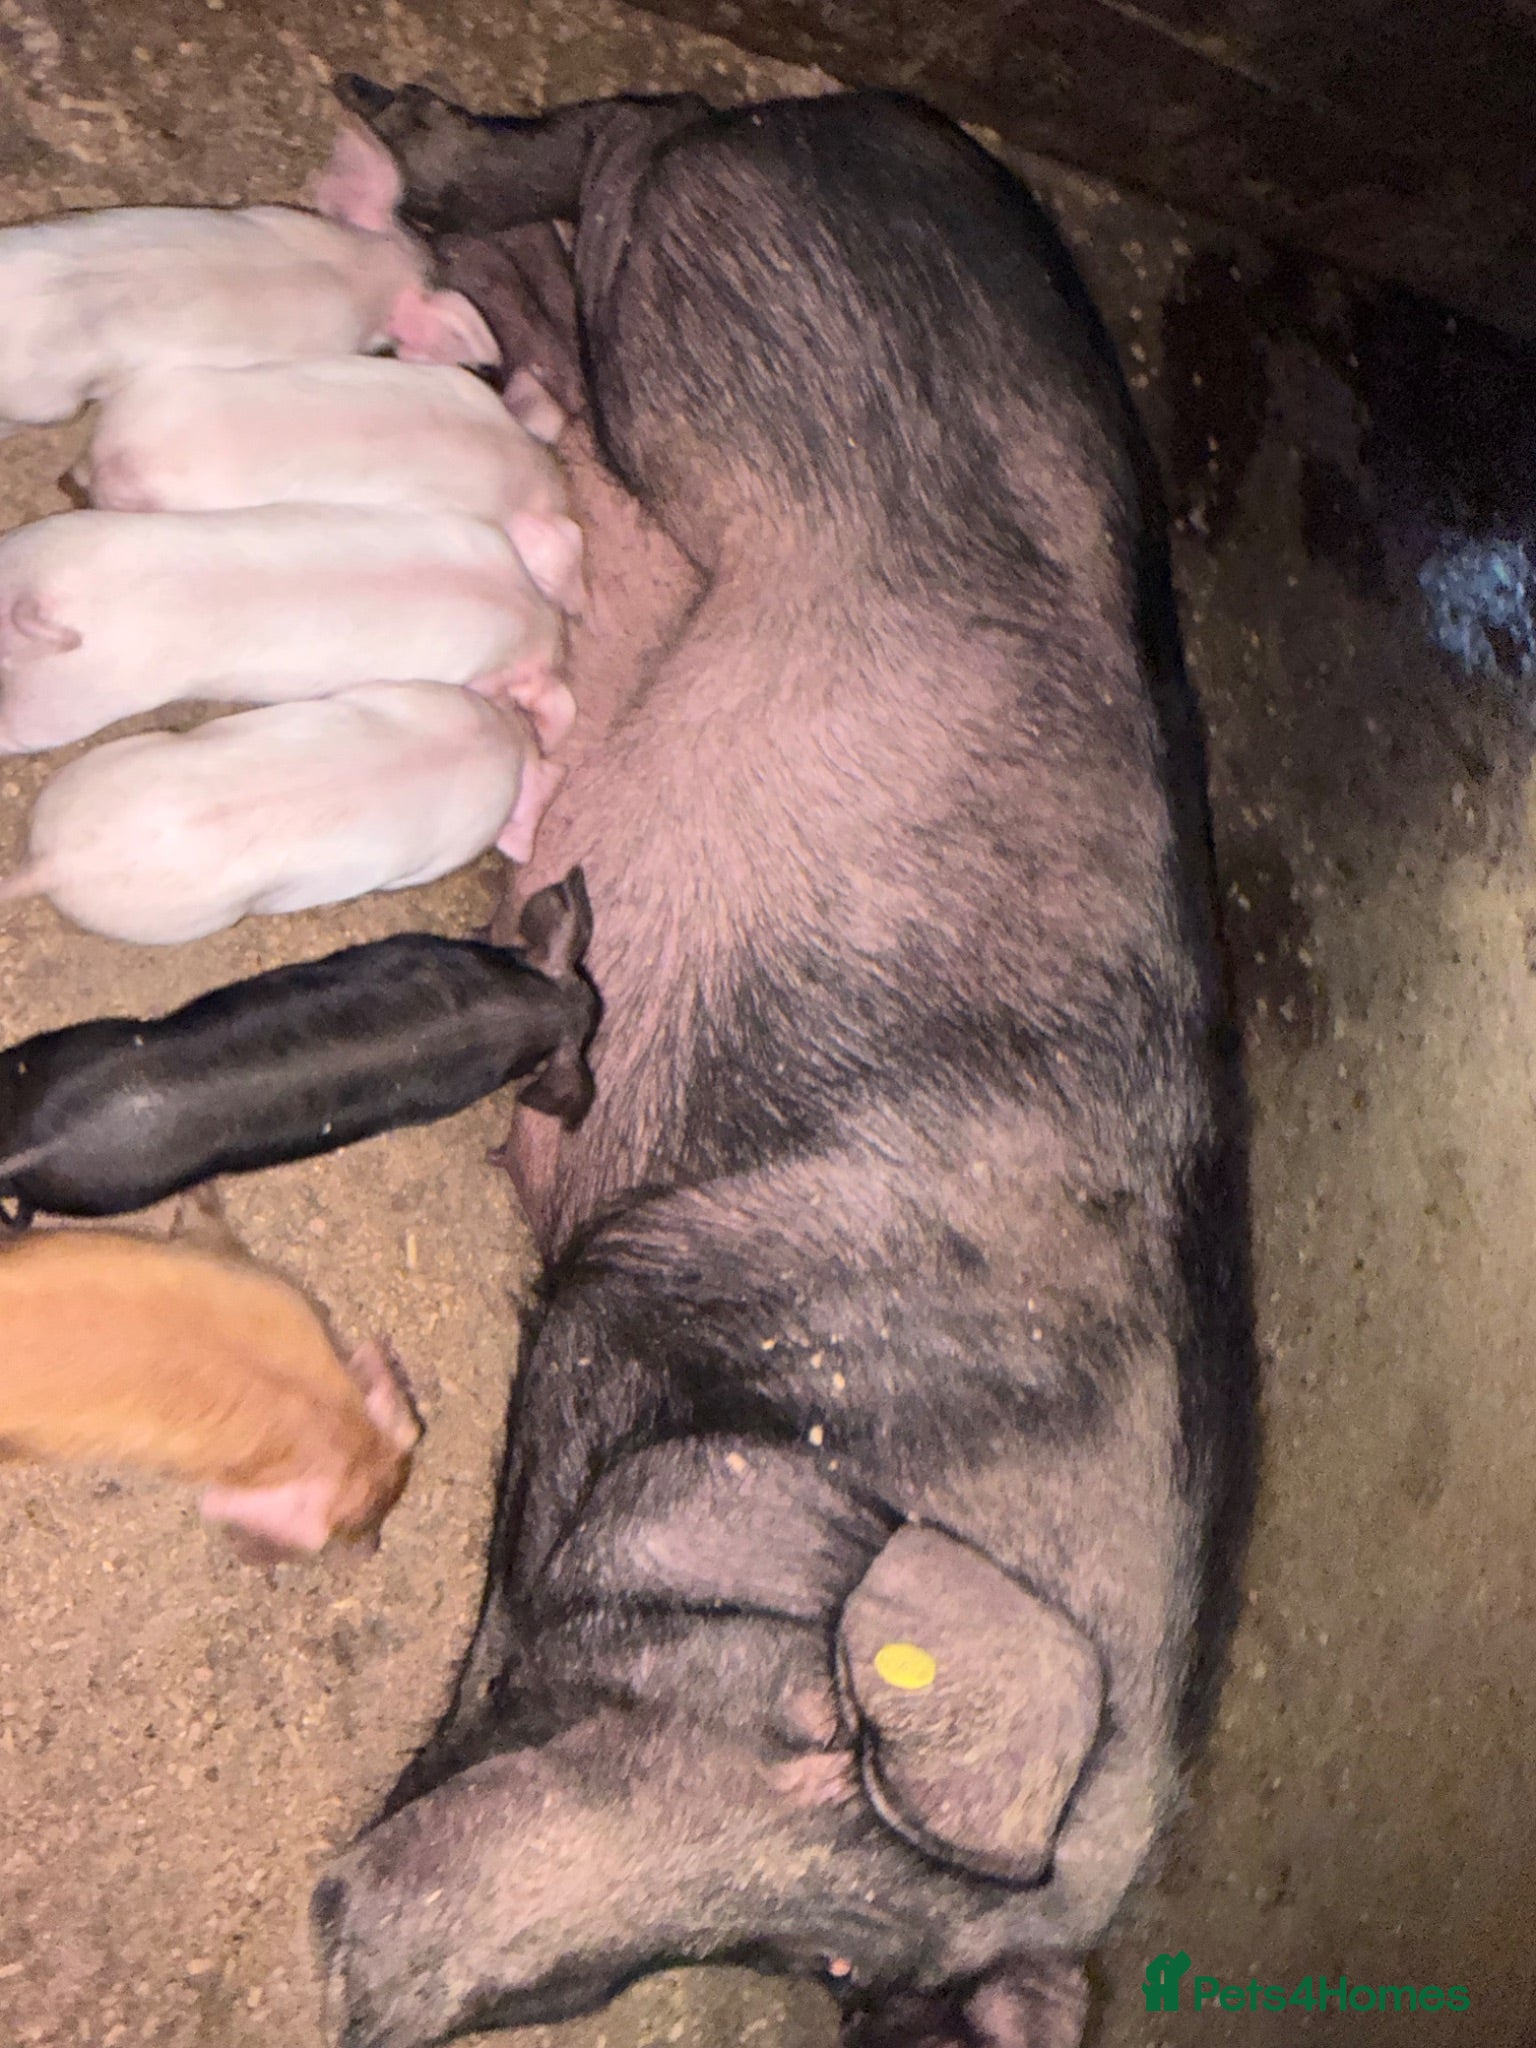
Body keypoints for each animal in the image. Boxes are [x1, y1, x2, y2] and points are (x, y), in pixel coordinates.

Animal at [310, 82, 1257, 2048]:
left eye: (820, 1957)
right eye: (818, 1729)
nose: (362, 1978)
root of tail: (885, 120)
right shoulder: (652, 1278)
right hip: (716, 328)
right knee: (619, 146)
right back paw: (399, 151)